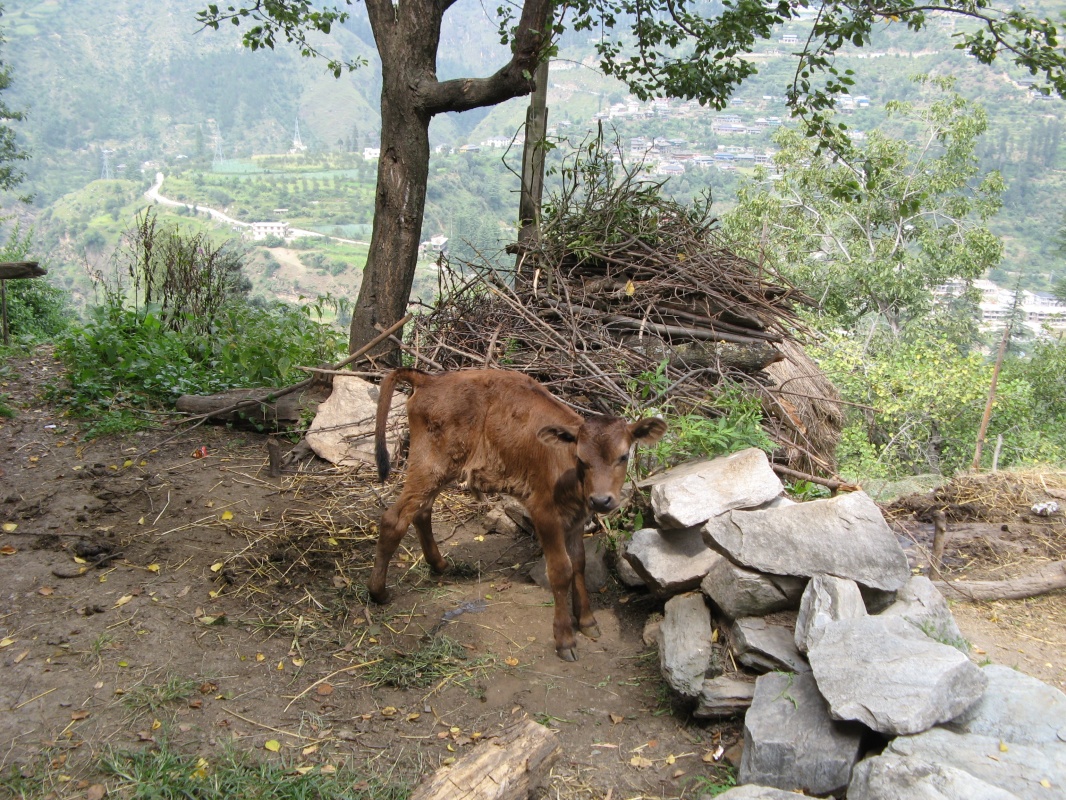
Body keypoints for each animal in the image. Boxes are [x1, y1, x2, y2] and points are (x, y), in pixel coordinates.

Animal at [370, 368, 666, 661]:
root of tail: (429, 379)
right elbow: (561, 570)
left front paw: (586, 621)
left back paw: (439, 565)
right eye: (581, 459)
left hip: (440, 469)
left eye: (623, 456)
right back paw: (378, 592)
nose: (602, 499)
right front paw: (565, 639)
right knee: (394, 519)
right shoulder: (544, 512)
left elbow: (579, 564)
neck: (569, 474)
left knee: (422, 511)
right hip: (430, 465)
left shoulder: (575, 519)